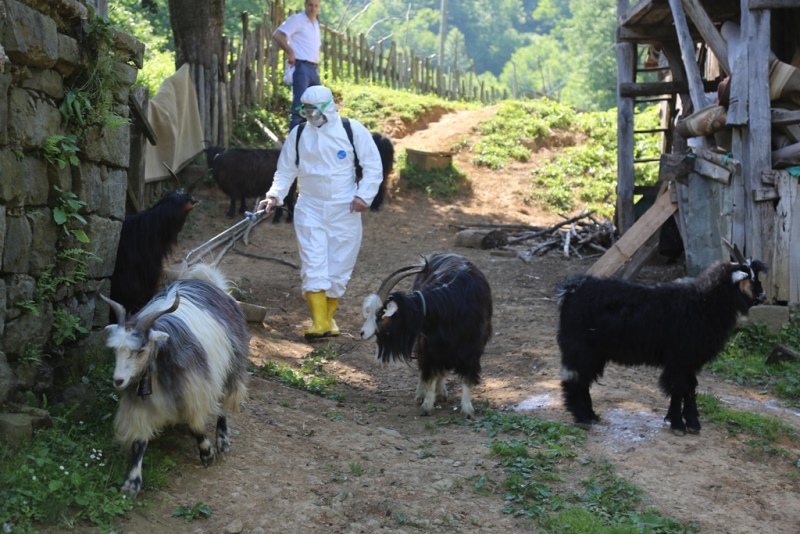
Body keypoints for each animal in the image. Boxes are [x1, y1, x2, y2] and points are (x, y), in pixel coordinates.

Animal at [100, 263, 249, 496]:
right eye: (116, 350)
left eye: (141, 350)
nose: (118, 381)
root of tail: (206, 281)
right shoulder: (139, 402)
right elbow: (138, 442)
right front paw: (132, 482)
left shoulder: (196, 389)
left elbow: (196, 426)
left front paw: (207, 454)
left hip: (231, 367)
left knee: (222, 404)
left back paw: (222, 439)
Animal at [360, 253, 493, 418]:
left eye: (380, 314)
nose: (362, 333)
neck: (449, 305)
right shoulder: (430, 346)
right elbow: (430, 375)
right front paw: (427, 405)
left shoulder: (472, 348)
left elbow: (466, 378)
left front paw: (468, 410)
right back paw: (423, 394)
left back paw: (441, 392)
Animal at [556, 244, 767, 436]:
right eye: (751, 278)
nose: (763, 296)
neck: (702, 304)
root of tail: (570, 290)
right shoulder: (680, 357)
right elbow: (679, 387)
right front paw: (677, 424)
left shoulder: (690, 359)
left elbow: (690, 388)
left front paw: (691, 423)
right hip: (580, 346)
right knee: (575, 378)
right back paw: (583, 417)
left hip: (595, 352)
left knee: (583, 378)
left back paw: (591, 415)